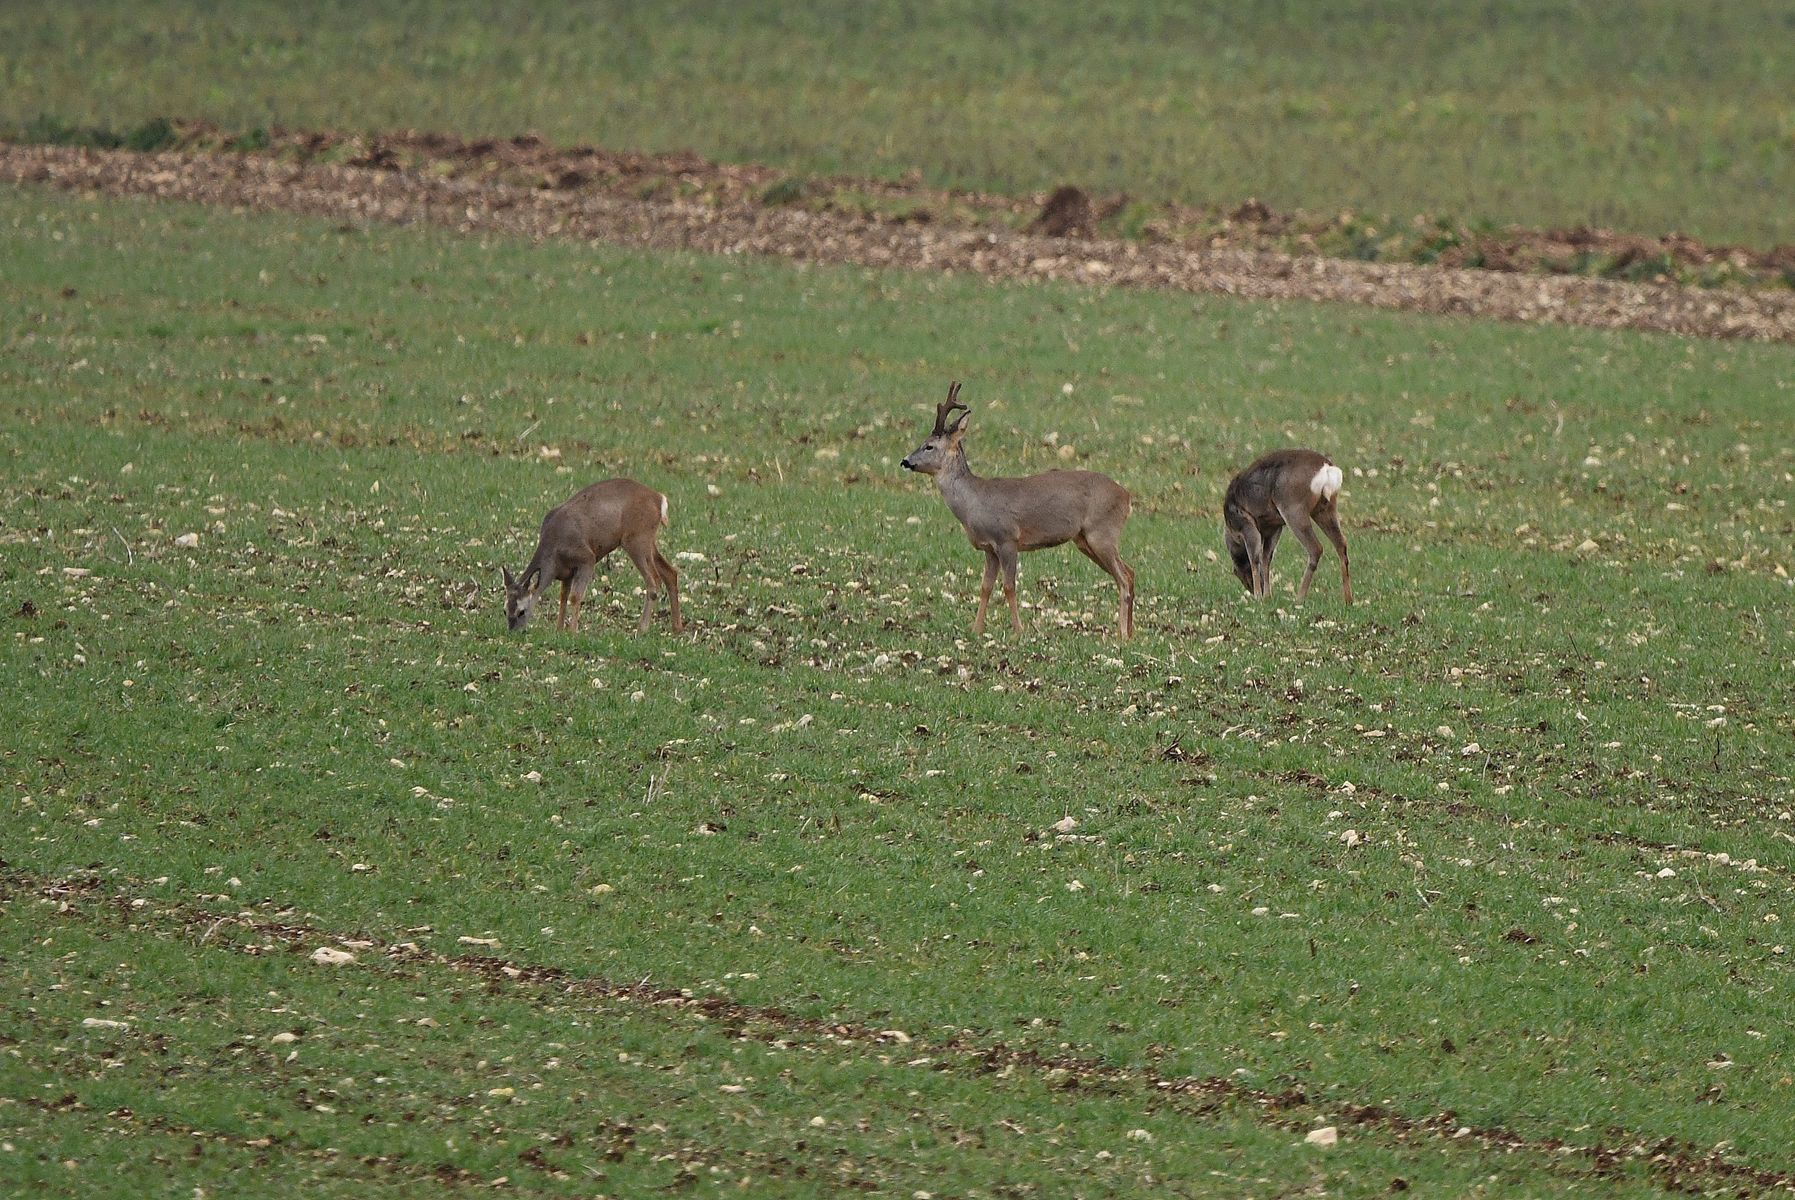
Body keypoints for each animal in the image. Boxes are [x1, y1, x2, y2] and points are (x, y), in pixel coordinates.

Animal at [502, 477, 682, 631]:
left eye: (521, 611)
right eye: (504, 610)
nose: (512, 631)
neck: (554, 551)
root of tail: (659, 498)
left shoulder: (586, 558)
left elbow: (575, 596)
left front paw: (572, 631)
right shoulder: (566, 572)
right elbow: (563, 596)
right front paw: (559, 629)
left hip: (637, 539)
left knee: (654, 580)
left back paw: (641, 630)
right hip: (647, 541)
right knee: (670, 572)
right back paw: (677, 628)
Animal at [897, 385, 1134, 645]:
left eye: (929, 445)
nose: (905, 461)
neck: (973, 503)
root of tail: (1127, 497)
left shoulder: (1007, 539)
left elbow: (1009, 586)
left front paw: (1018, 630)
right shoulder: (989, 549)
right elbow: (985, 587)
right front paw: (976, 629)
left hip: (1102, 532)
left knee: (1124, 577)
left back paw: (1123, 635)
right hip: (1085, 540)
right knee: (1129, 573)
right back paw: (1129, 631)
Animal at [1227, 446, 1349, 602]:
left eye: (1238, 572)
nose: (1251, 590)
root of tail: (1327, 468)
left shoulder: (1246, 523)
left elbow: (1255, 558)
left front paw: (1259, 597)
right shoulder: (1275, 527)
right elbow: (1266, 558)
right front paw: (1267, 596)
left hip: (1293, 509)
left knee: (1316, 548)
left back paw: (1299, 597)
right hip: (1325, 509)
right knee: (1341, 544)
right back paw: (1348, 600)